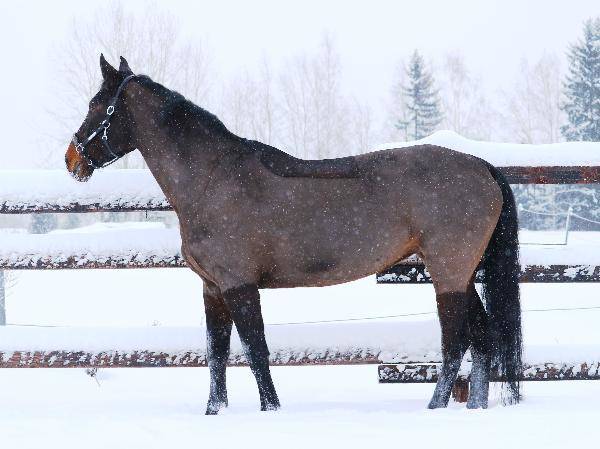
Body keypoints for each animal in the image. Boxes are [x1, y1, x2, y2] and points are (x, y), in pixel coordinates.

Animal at [65, 55, 522, 414]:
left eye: (98, 105)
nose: (72, 159)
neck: (212, 179)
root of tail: (481, 166)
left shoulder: (239, 285)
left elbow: (255, 351)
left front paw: (271, 410)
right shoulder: (212, 288)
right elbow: (216, 354)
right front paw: (215, 412)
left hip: (448, 273)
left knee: (456, 342)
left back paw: (434, 407)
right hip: (463, 275)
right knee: (483, 338)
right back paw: (474, 407)